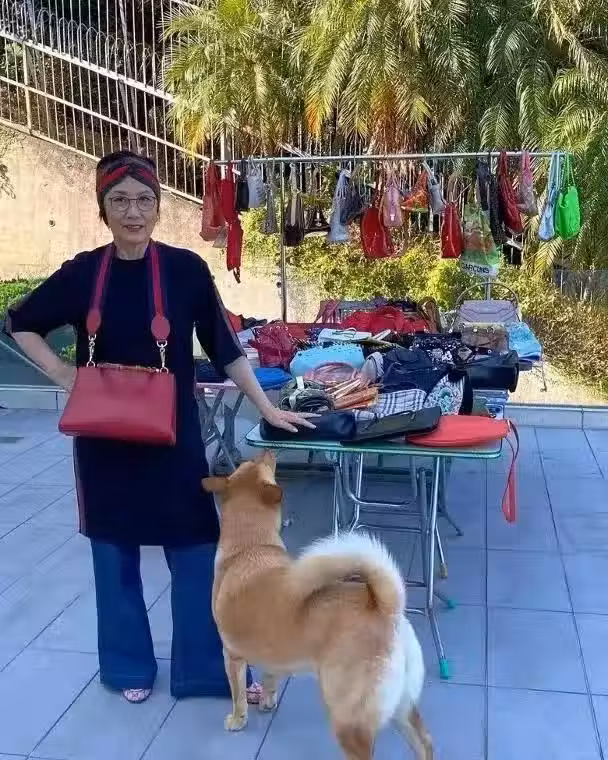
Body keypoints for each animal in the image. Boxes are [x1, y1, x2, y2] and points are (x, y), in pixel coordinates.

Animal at [203, 450, 433, 760]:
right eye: (252, 463)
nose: (268, 451)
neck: (251, 546)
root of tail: (387, 608)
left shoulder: (232, 656)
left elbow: (238, 695)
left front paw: (238, 720)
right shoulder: (273, 655)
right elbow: (270, 679)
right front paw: (267, 702)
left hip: (347, 717)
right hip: (401, 707)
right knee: (424, 742)